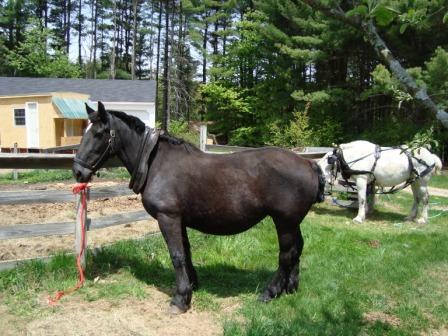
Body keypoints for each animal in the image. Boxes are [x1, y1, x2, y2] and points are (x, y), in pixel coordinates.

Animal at [73, 101, 326, 314]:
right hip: (292, 222)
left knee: (286, 254)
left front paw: (180, 299)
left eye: (98, 133)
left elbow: (176, 255)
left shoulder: (168, 218)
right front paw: (191, 285)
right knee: (297, 249)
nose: (77, 171)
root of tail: (309, 164)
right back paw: (290, 288)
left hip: (284, 221)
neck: (155, 162)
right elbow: (185, 252)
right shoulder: (180, 219)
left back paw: (270, 292)